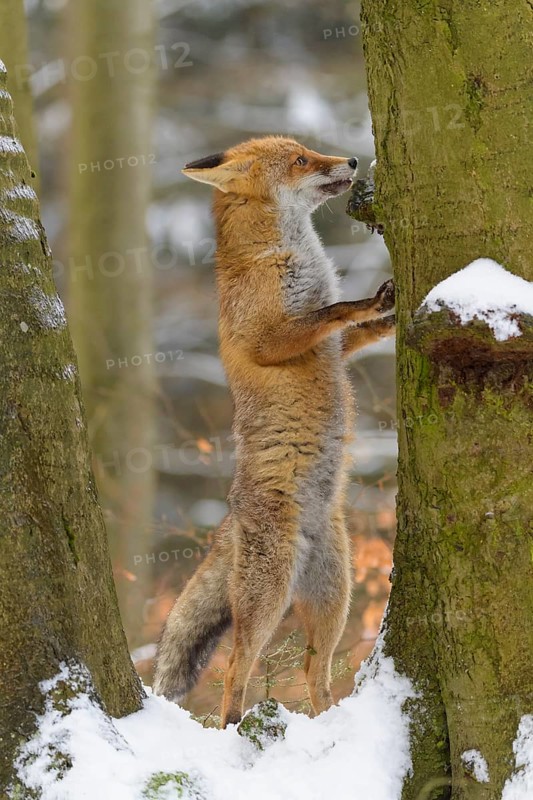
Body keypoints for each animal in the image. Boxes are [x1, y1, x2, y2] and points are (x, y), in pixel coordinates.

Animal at [153, 136, 395, 727]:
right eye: (303, 160)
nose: (353, 161)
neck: (284, 255)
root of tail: (230, 519)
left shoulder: (333, 348)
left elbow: (353, 331)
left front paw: (392, 313)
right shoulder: (266, 340)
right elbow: (332, 311)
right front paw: (367, 301)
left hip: (335, 596)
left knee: (314, 669)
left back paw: (329, 724)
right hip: (268, 598)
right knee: (235, 666)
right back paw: (236, 728)